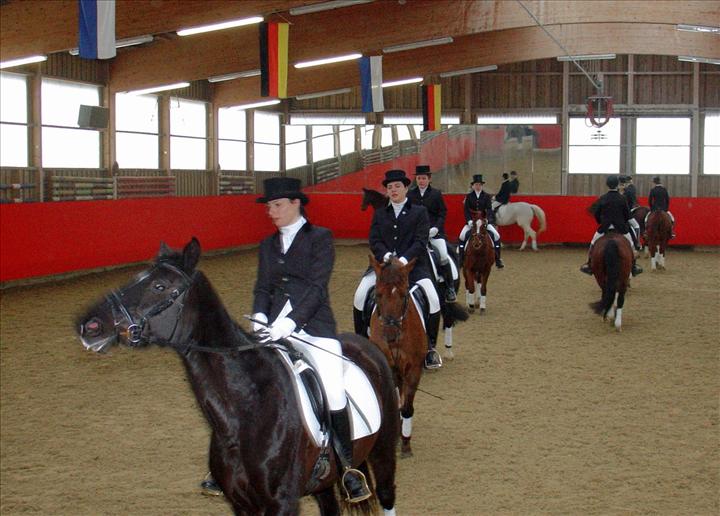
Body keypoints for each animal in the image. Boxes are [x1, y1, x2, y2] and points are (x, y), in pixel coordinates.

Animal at [76, 239, 399, 516]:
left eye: (160, 286)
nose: (89, 326)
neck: (246, 411)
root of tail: (367, 345)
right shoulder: (241, 503)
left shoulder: (282, 503)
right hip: (325, 482)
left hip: (382, 453)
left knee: (386, 495)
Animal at [368, 255, 427, 458]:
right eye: (378, 295)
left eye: (403, 295)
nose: (390, 334)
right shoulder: (388, 368)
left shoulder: (414, 369)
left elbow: (407, 407)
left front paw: (406, 444)